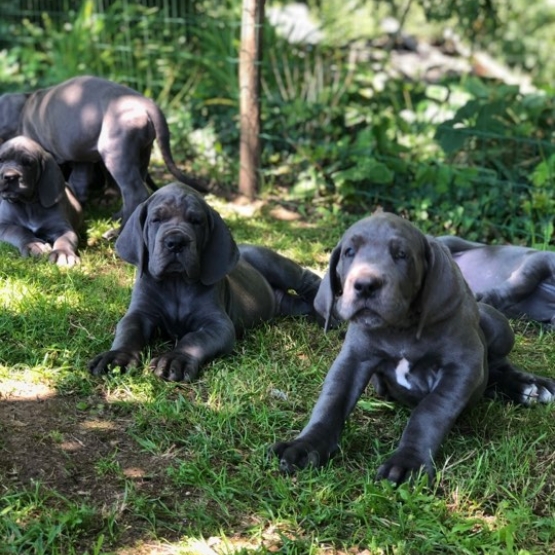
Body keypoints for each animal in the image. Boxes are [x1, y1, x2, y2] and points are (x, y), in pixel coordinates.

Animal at [0, 134, 81, 264]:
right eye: (1, 160)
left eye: (28, 163)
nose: (9, 177)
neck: (29, 204)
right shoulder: (3, 224)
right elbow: (19, 230)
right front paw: (34, 245)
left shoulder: (62, 227)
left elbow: (65, 239)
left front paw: (63, 253)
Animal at [89, 182, 324, 382]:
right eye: (156, 219)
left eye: (196, 221)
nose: (176, 242)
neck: (176, 283)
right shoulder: (140, 313)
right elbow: (128, 331)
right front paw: (117, 356)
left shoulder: (218, 324)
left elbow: (194, 339)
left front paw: (175, 359)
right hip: (287, 305)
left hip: (270, 261)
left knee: (305, 277)